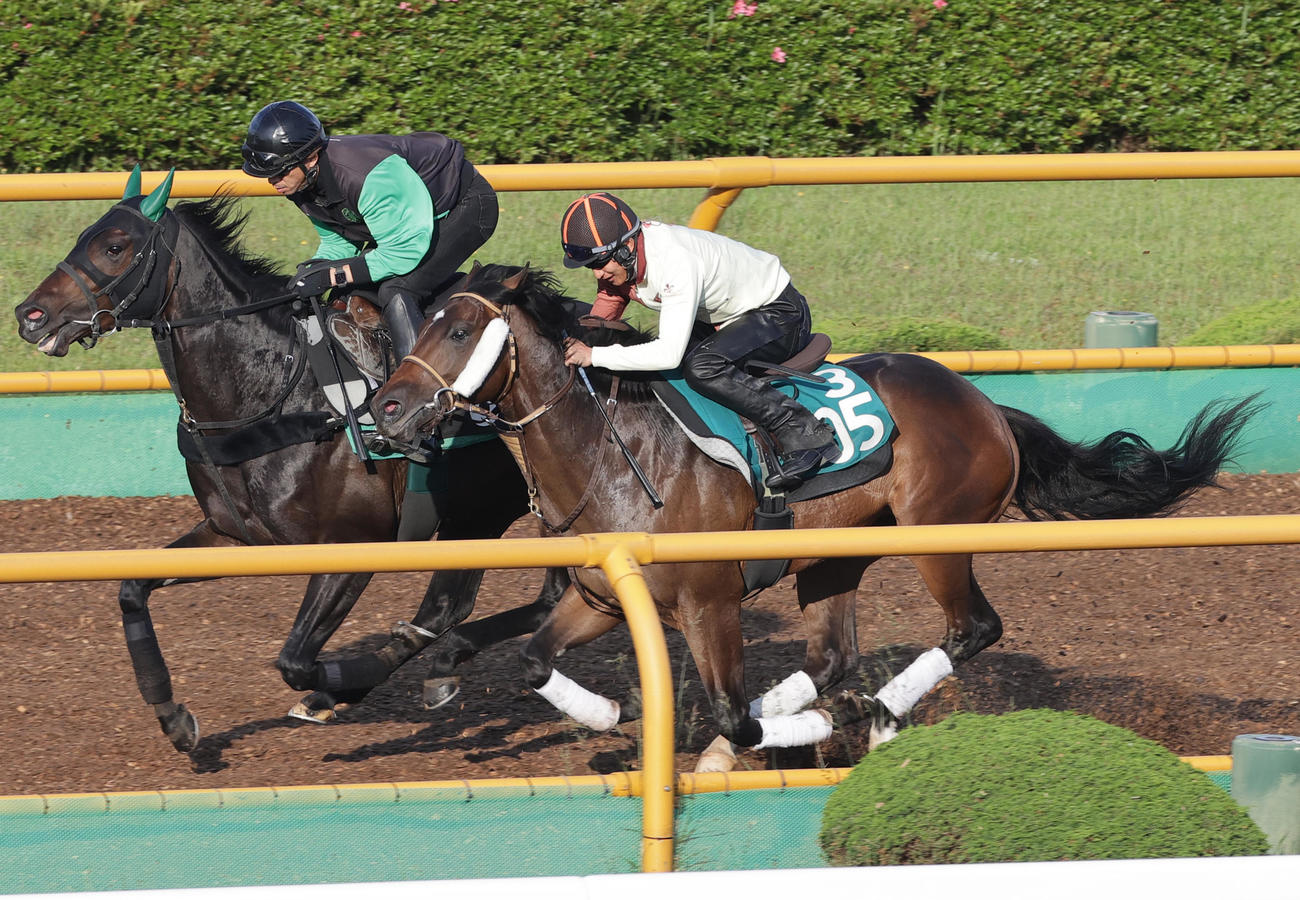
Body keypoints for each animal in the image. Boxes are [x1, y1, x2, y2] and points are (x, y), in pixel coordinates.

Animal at [13, 174, 567, 754]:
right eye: (85, 235)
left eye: (115, 247)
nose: (30, 316)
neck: (277, 393)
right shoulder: (232, 536)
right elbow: (131, 590)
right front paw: (173, 716)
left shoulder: (354, 547)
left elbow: (295, 661)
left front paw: (335, 685)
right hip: (486, 515)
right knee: (469, 605)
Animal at [370, 263, 1259, 770]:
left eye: (459, 326)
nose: (386, 408)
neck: (614, 455)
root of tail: (986, 405)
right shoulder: (601, 598)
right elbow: (532, 660)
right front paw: (613, 713)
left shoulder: (711, 603)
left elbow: (732, 712)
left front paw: (729, 739)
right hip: (836, 559)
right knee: (833, 658)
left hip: (939, 538)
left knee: (970, 629)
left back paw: (882, 715)